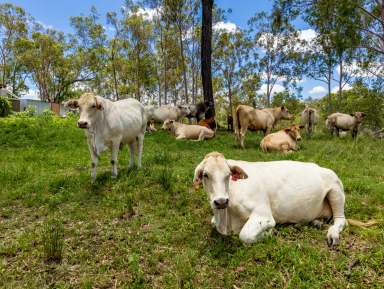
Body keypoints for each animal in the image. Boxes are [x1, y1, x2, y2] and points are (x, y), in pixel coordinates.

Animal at [194, 151, 346, 245]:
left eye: (228, 174)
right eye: (205, 175)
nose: (221, 201)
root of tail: (321, 167)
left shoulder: (263, 214)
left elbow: (245, 235)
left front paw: (270, 232)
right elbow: (212, 223)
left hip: (336, 191)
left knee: (341, 220)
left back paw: (332, 234)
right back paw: (317, 222)